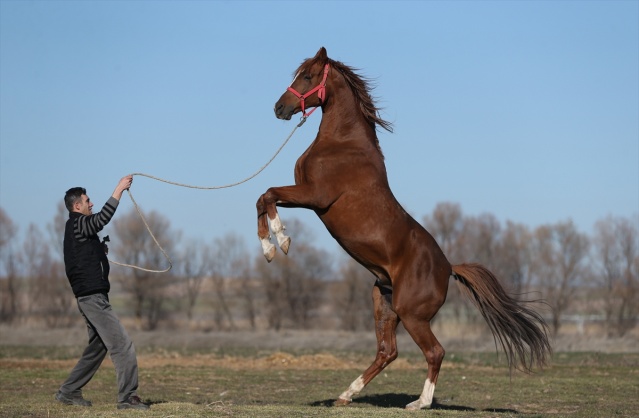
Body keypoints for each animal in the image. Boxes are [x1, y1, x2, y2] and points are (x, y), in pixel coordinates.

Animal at [255, 47, 552, 410]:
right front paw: (270, 246)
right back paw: (345, 395)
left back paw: (419, 403)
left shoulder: (315, 196)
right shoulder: (305, 196)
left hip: (412, 315)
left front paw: (280, 242)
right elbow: (262, 198)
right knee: (388, 351)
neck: (342, 143)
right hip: (384, 304)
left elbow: (268, 194)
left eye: (308, 76)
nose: (279, 108)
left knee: (434, 351)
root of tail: (448, 267)